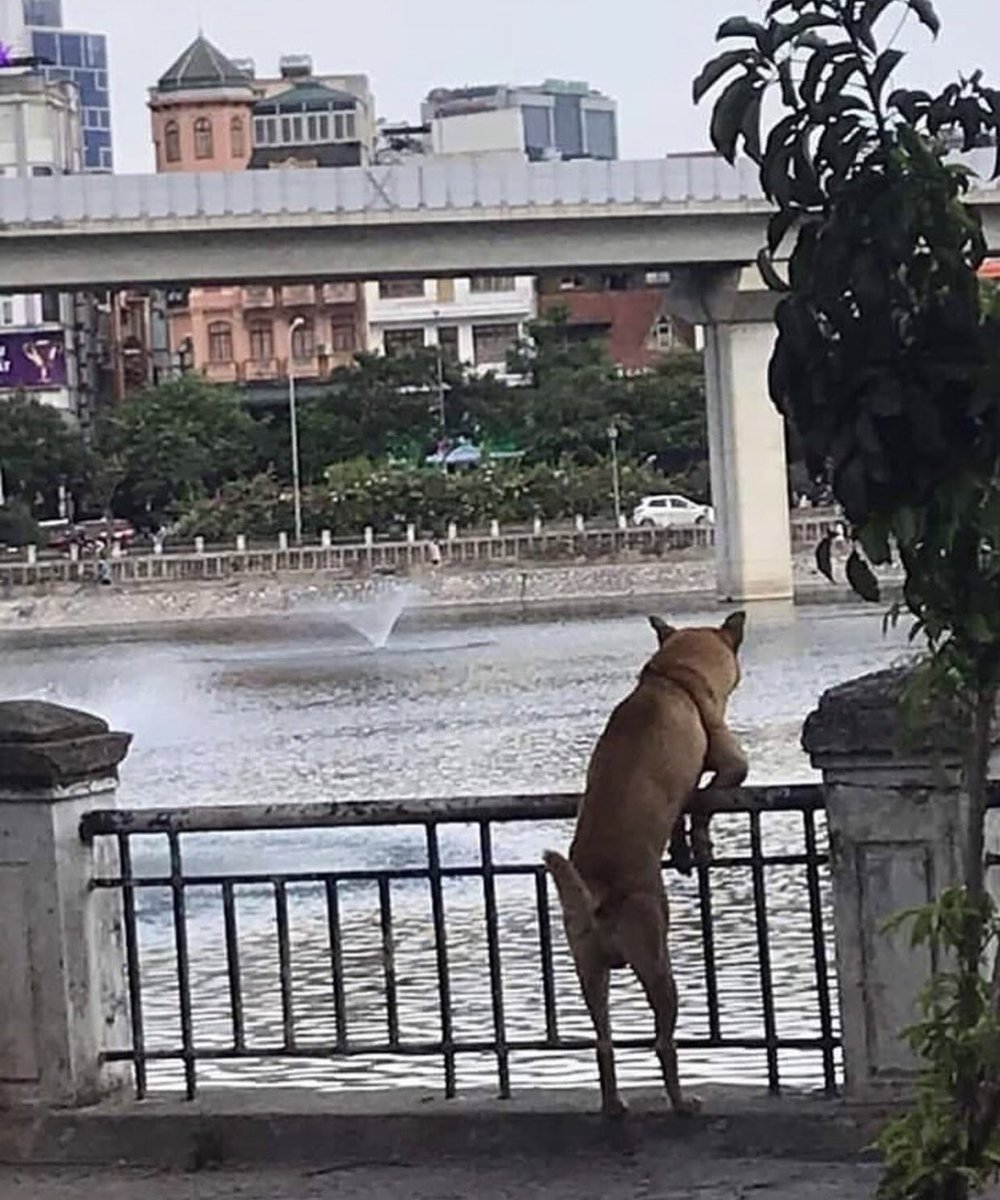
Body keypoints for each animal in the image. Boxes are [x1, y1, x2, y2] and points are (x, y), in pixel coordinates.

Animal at [543, 611, 748, 1118]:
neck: (672, 677)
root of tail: (596, 893)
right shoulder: (731, 764)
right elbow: (703, 801)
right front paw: (701, 843)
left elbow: (682, 814)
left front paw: (683, 851)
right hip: (657, 963)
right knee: (662, 1043)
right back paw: (681, 1102)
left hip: (587, 968)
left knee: (603, 1042)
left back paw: (614, 1104)